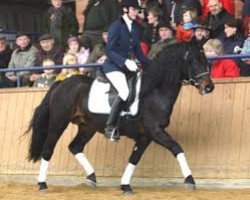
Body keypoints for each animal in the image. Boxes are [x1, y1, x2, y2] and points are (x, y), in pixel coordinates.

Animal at [25, 42, 215, 194]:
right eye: (194, 61)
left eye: (206, 61)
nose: (209, 87)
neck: (154, 91)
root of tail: (61, 83)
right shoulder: (155, 131)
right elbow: (177, 148)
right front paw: (190, 180)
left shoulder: (146, 136)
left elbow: (134, 159)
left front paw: (125, 185)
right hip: (59, 122)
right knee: (48, 150)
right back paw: (42, 185)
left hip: (87, 127)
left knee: (75, 147)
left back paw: (91, 178)